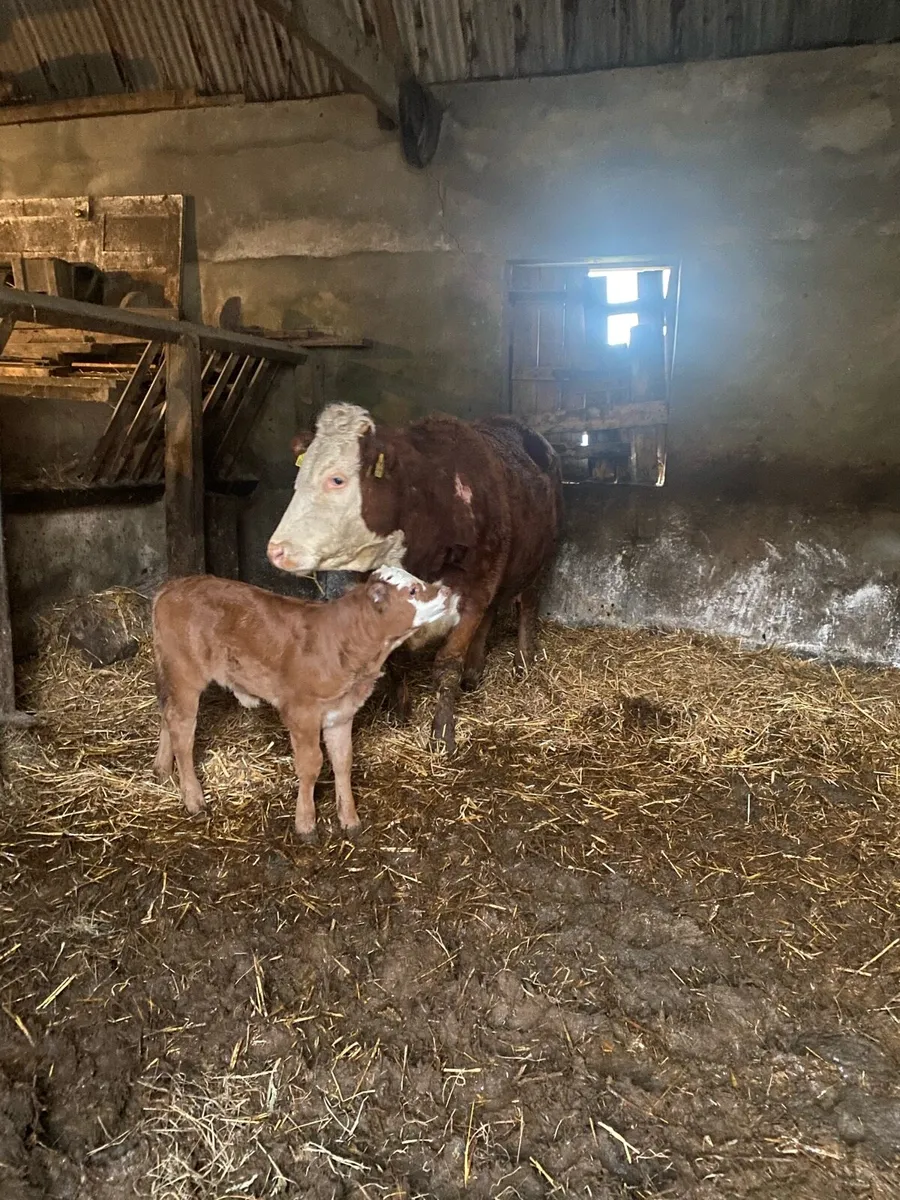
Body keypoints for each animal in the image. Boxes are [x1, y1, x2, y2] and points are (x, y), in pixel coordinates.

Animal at [152, 566, 451, 842]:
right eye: (412, 591)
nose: (447, 591)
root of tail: (172, 586)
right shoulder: (301, 713)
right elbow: (311, 765)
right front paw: (306, 823)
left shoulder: (341, 714)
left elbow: (343, 761)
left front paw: (350, 819)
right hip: (185, 676)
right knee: (182, 729)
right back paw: (194, 799)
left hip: (173, 678)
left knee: (167, 714)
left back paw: (163, 771)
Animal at [267, 403, 563, 753]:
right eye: (300, 476)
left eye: (337, 479)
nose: (276, 550)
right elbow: (396, 665)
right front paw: (401, 713)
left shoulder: (474, 592)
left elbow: (447, 663)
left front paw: (442, 733)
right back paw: (474, 673)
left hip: (538, 560)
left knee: (526, 606)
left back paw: (523, 662)